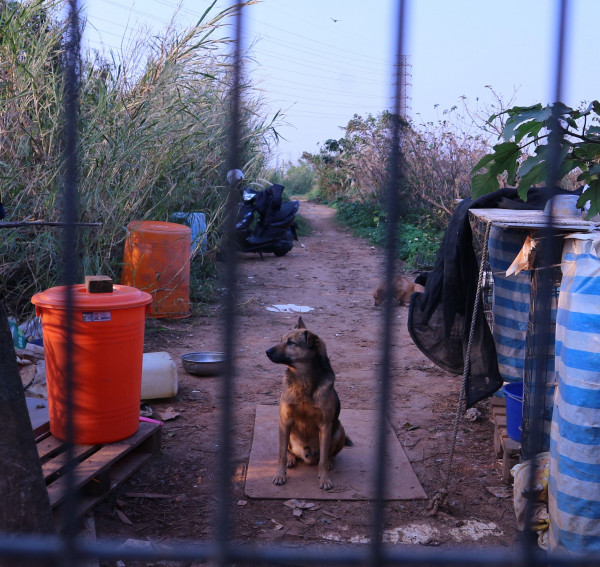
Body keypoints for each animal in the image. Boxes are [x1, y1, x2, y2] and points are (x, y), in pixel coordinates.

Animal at [266, 318, 350, 490]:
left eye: (290, 342)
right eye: (281, 340)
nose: (267, 351)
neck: (303, 379)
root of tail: (307, 456)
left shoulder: (325, 425)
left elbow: (323, 459)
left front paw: (324, 479)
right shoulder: (285, 421)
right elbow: (281, 455)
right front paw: (280, 475)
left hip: (339, 431)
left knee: (328, 454)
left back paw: (329, 462)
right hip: (287, 433)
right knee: (289, 451)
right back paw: (292, 459)